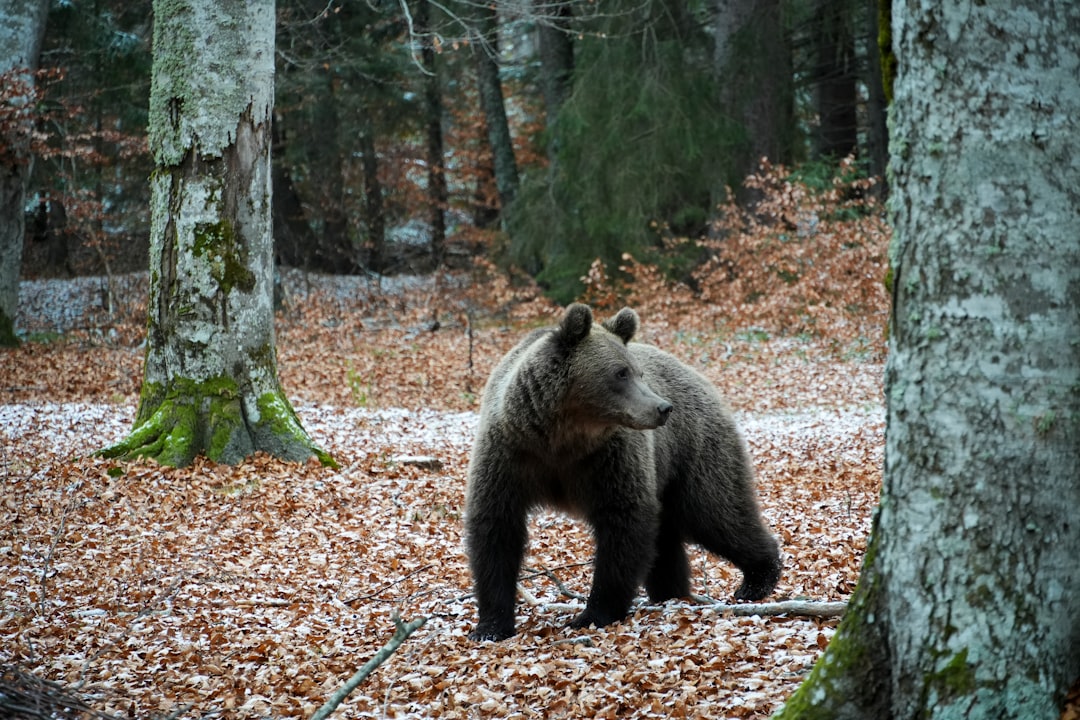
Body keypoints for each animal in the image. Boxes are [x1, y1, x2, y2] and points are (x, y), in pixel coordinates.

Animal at [464, 303, 781, 641]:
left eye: (637, 371)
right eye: (621, 372)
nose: (663, 408)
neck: (561, 439)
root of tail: (696, 374)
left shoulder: (609, 460)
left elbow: (623, 523)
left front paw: (592, 613)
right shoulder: (511, 456)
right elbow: (496, 528)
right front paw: (490, 626)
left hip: (693, 448)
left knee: (716, 511)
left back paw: (757, 579)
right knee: (670, 535)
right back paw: (670, 591)